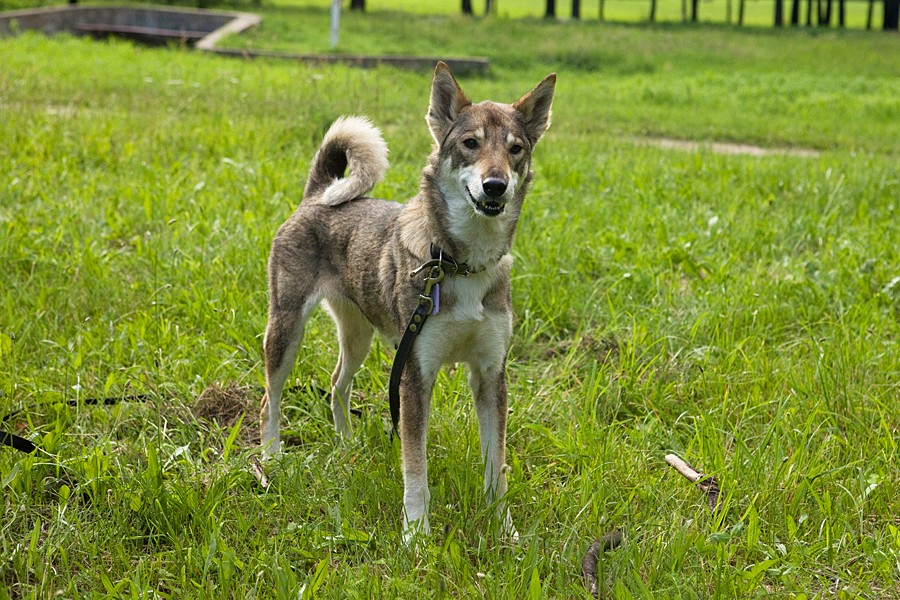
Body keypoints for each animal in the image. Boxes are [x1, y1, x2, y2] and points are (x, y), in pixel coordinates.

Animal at [258, 63, 556, 540]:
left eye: (516, 149)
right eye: (470, 143)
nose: (495, 186)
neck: (459, 264)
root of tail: (318, 195)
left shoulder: (491, 374)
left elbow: (497, 466)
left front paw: (504, 530)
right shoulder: (416, 374)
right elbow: (415, 468)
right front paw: (416, 536)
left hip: (357, 335)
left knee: (338, 384)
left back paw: (346, 446)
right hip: (286, 330)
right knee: (271, 397)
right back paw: (271, 459)